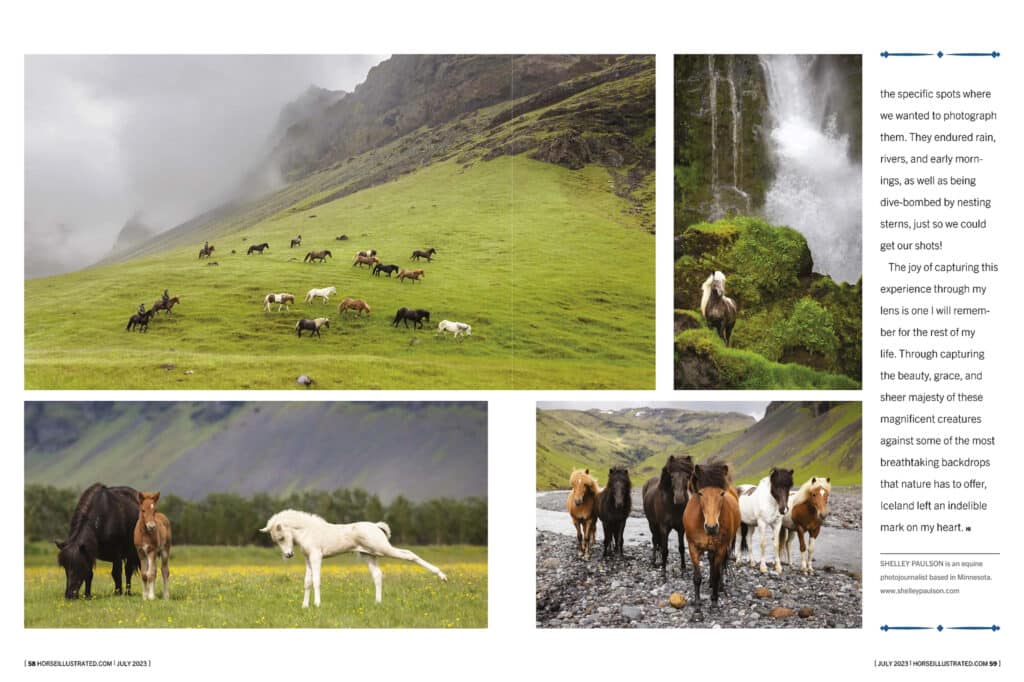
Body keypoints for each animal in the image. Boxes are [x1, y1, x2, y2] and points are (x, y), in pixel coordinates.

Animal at [262, 503, 446, 606]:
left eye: (281, 537)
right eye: (276, 541)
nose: (288, 555)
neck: (308, 531)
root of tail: (376, 526)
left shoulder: (316, 557)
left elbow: (316, 581)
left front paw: (317, 604)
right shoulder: (308, 559)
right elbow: (307, 582)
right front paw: (305, 606)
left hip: (383, 549)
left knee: (409, 554)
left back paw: (442, 576)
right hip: (370, 555)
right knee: (378, 575)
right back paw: (377, 602)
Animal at [684, 462, 741, 610]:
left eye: (721, 493)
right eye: (700, 493)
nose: (711, 527)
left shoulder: (721, 548)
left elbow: (717, 573)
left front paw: (714, 601)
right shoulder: (692, 547)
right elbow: (697, 577)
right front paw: (697, 603)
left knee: (719, 567)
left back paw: (719, 586)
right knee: (711, 560)